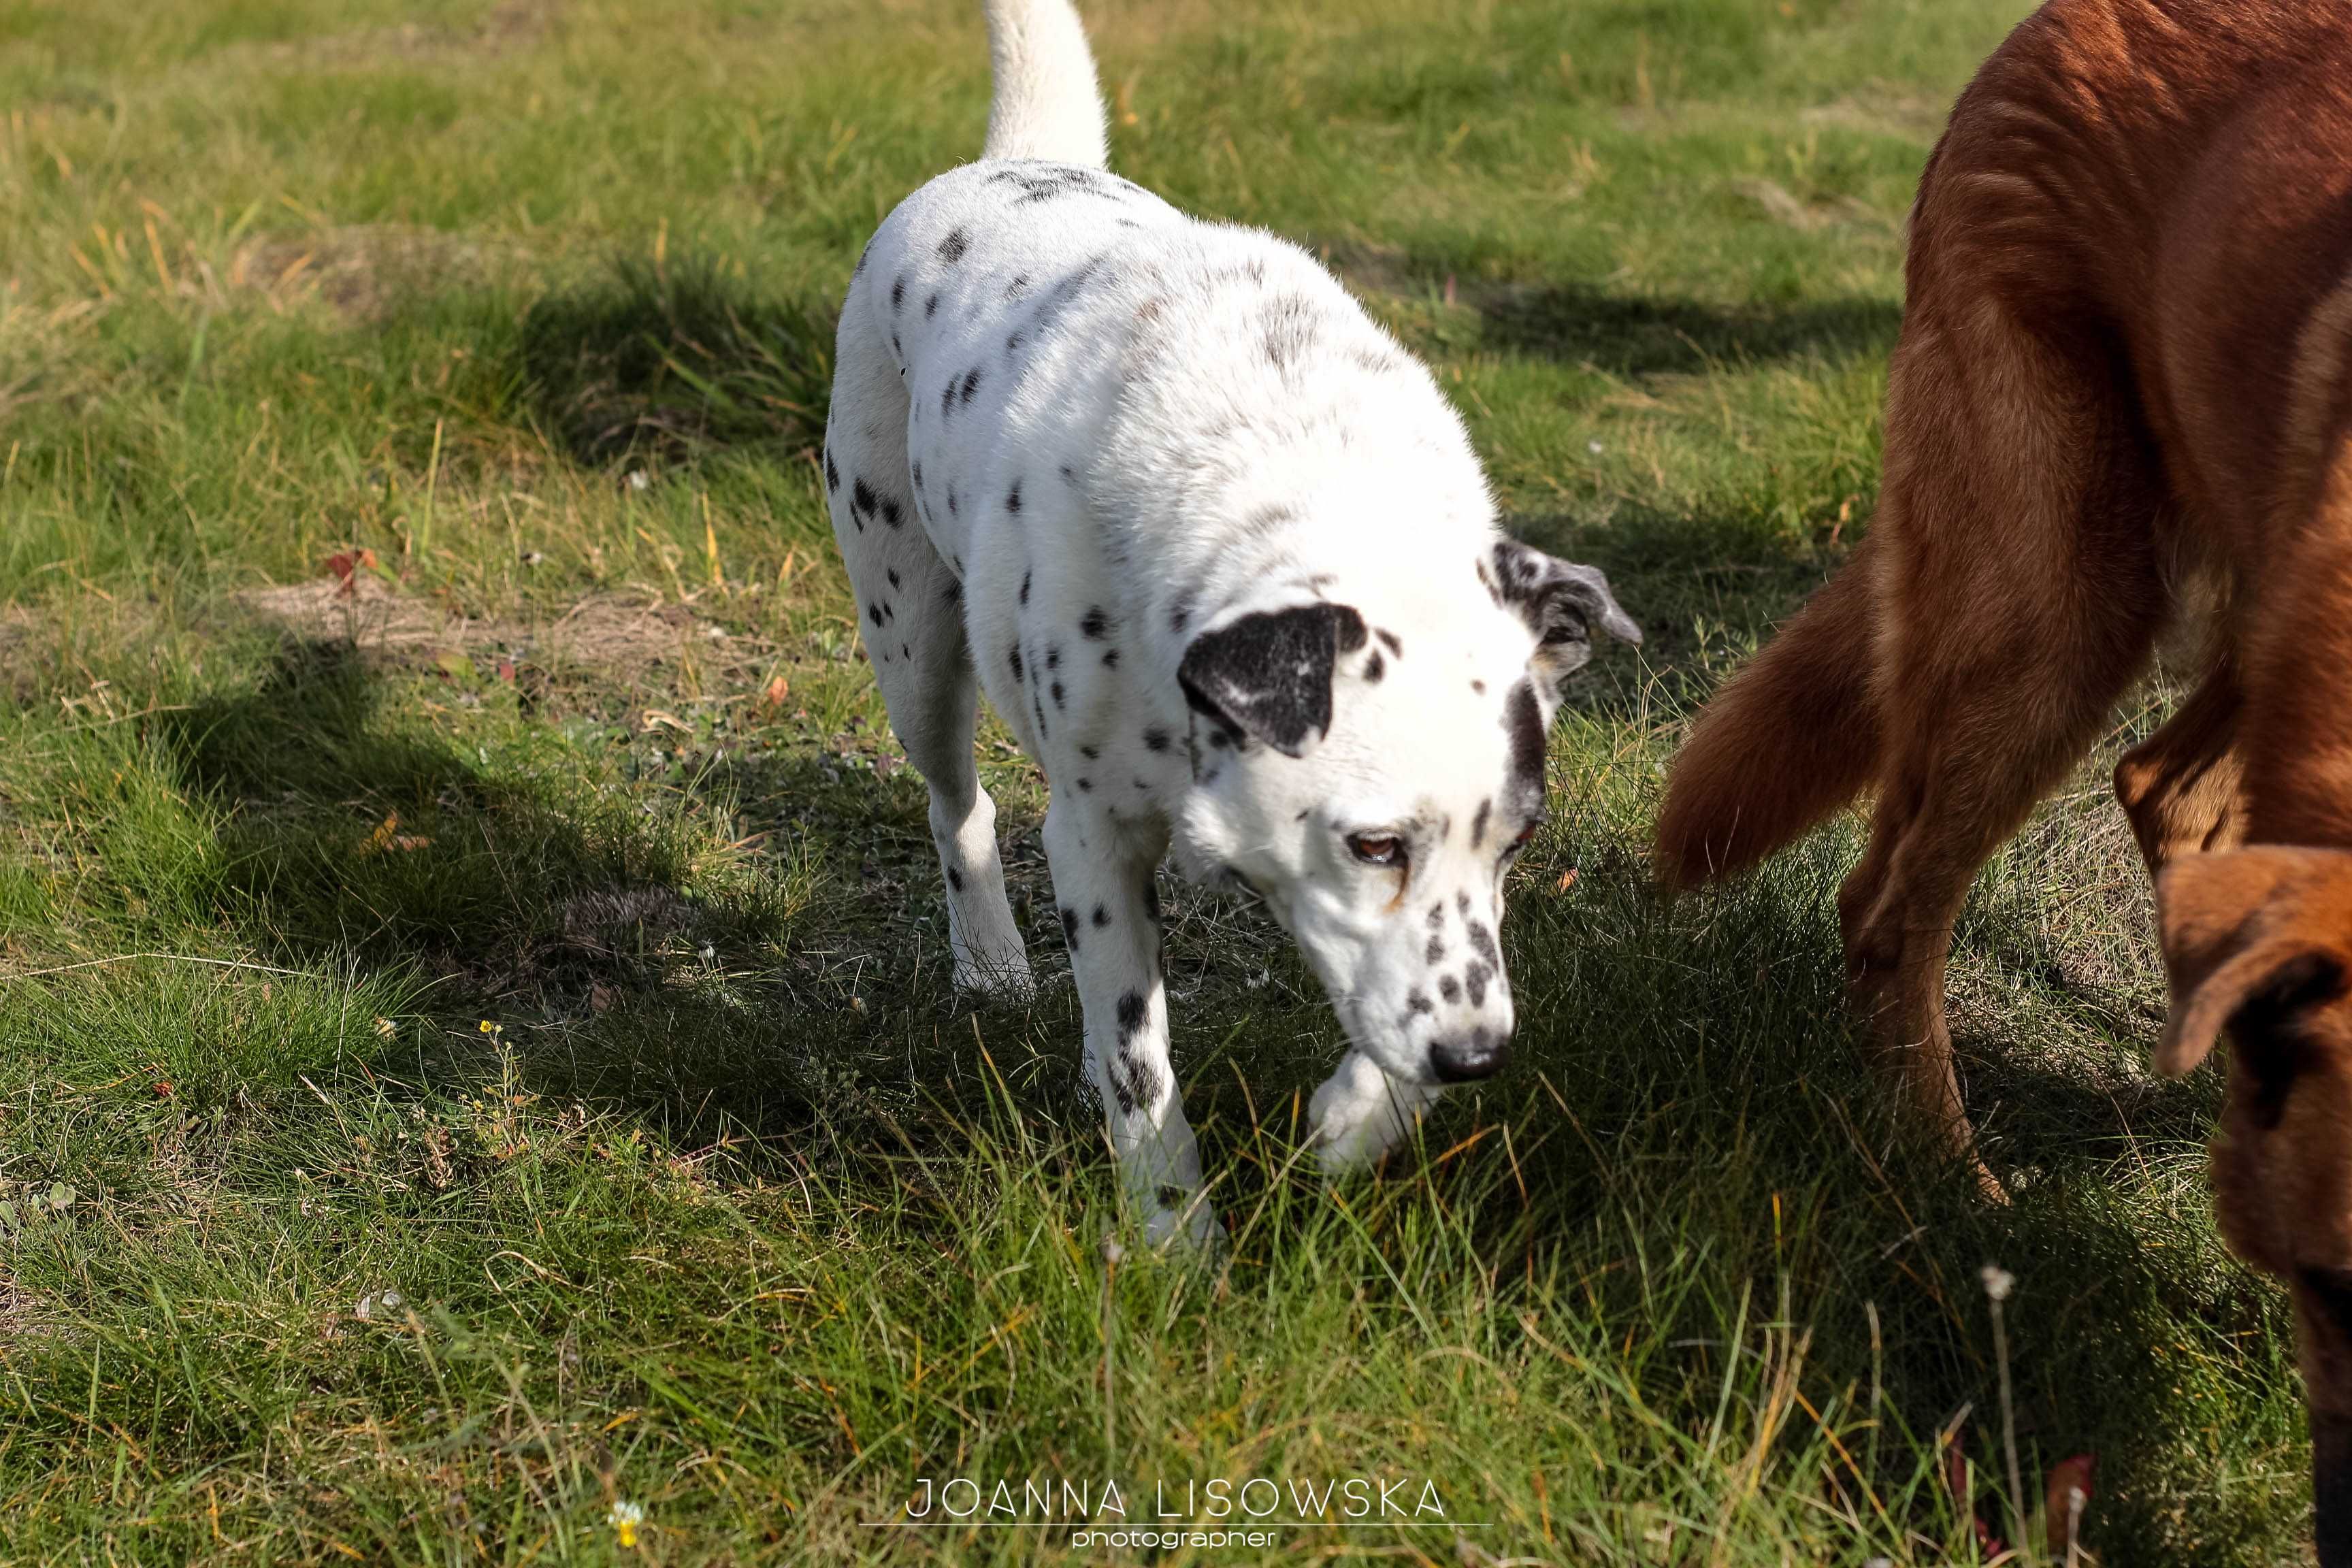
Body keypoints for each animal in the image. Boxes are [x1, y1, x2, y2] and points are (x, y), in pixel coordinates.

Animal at [823, 0, 1637, 1250]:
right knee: (957, 803)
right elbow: (1140, 1060)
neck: (1296, 469)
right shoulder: (1094, 836)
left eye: (1522, 839)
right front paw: (1175, 1239)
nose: (1478, 1057)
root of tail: (1013, 160)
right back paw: (992, 962)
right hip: (908, 632)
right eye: (1373, 844)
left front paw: (1357, 1118)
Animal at [1656, 0, 2352, 1542]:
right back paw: (1952, 1182)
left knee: (2163, 787)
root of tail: (2046, 24)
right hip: (2059, 603)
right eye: (2322, 1284)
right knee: (1891, 906)